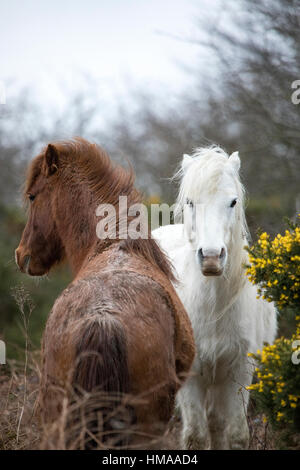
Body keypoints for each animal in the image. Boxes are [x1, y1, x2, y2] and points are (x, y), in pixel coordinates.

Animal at [154, 147, 278, 448]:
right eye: (190, 202)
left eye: (233, 201)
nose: (211, 257)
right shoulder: (189, 375)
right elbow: (196, 436)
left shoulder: (239, 371)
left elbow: (235, 432)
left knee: (217, 423)